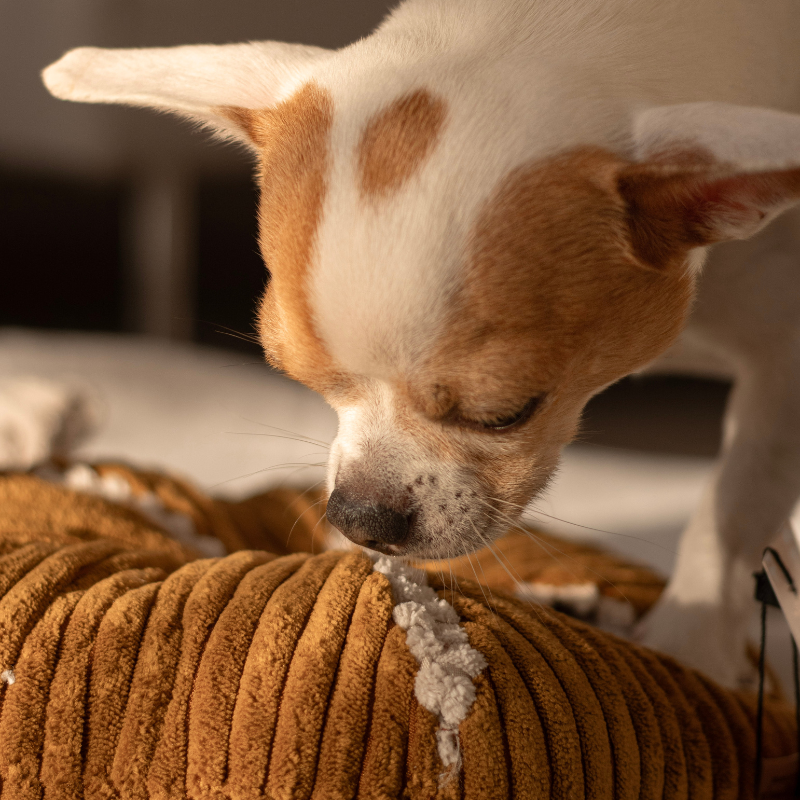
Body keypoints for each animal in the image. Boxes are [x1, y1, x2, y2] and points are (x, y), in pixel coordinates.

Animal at [43, 0, 800, 688]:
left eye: (505, 414)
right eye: (297, 378)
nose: (360, 513)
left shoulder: (782, 369)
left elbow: (735, 503)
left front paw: (691, 642)